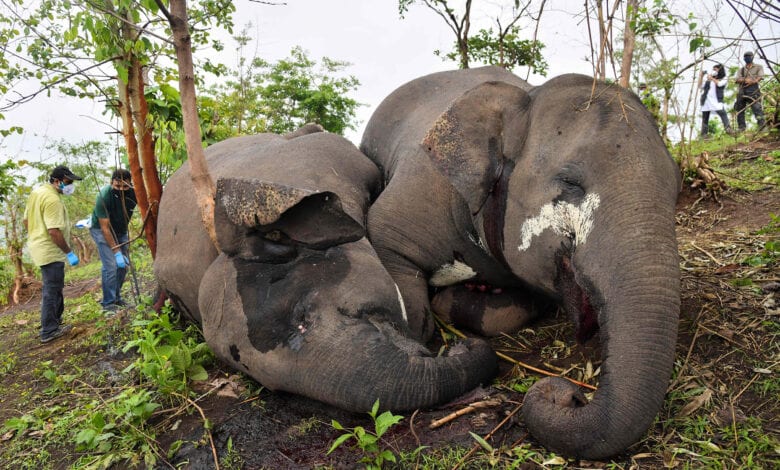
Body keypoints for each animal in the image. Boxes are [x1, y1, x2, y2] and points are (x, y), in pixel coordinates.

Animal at [360, 66, 681, 459]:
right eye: (571, 183)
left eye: (677, 188)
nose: (569, 394)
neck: (526, 100)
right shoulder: (422, 186)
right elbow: (391, 253)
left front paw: (464, 296)